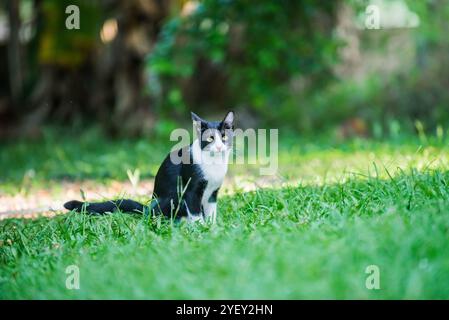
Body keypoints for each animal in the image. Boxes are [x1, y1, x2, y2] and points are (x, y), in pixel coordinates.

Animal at [65, 111, 234, 224]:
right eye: (210, 139)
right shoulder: (191, 190)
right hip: (170, 199)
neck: (214, 164)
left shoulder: (213, 192)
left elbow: (211, 212)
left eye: (224, 136)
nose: (219, 147)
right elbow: (195, 213)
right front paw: (200, 230)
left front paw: (212, 228)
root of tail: (148, 208)